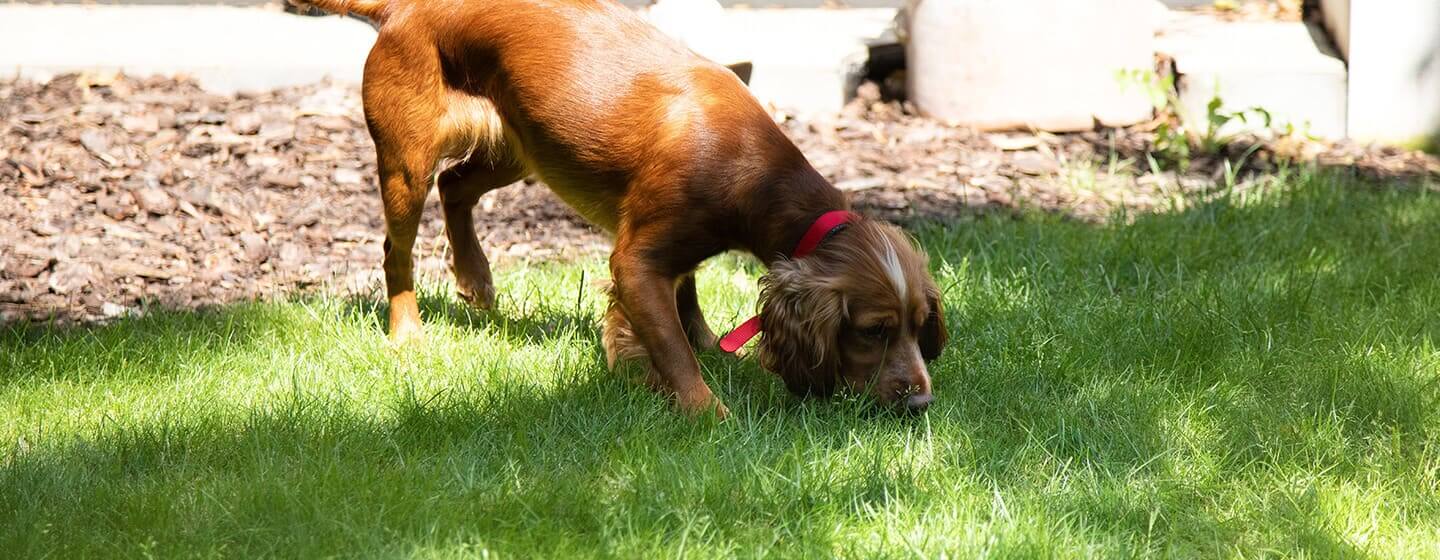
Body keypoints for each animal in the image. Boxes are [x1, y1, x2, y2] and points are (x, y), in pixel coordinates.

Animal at [295, 0, 944, 411]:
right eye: (874, 330)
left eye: (919, 327)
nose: (922, 402)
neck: (754, 167)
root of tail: (401, 8)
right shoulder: (636, 260)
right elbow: (673, 350)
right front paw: (708, 414)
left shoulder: (670, 250)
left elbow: (687, 302)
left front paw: (708, 347)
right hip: (409, 161)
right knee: (397, 247)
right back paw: (407, 333)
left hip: (525, 146)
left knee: (457, 188)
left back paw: (476, 278)